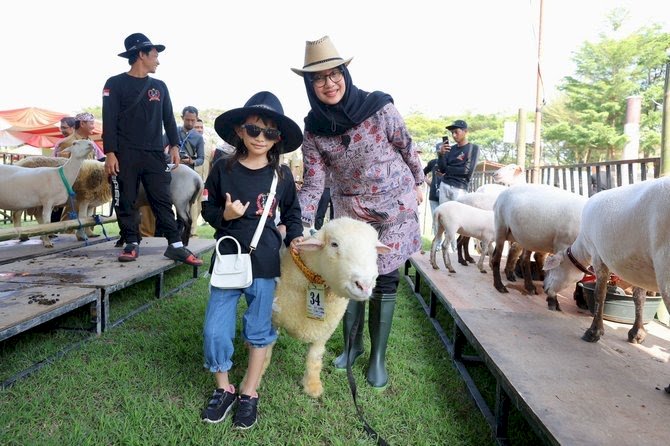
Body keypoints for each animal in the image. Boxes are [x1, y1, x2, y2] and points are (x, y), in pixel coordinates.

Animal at [245, 217, 394, 398]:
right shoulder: (272, 320)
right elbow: (263, 355)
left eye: (374, 249)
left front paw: (313, 386)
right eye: (334, 244)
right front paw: (250, 383)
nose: (364, 285)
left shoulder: (324, 330)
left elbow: (314, 359)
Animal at [544, 177, 670, 394]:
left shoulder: (598, 255)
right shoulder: (636, 268)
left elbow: (600, 294)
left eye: (553, 270)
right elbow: (639, 298)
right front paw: (636, 334)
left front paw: (594, 332)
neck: (583, 245)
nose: (545, 289)